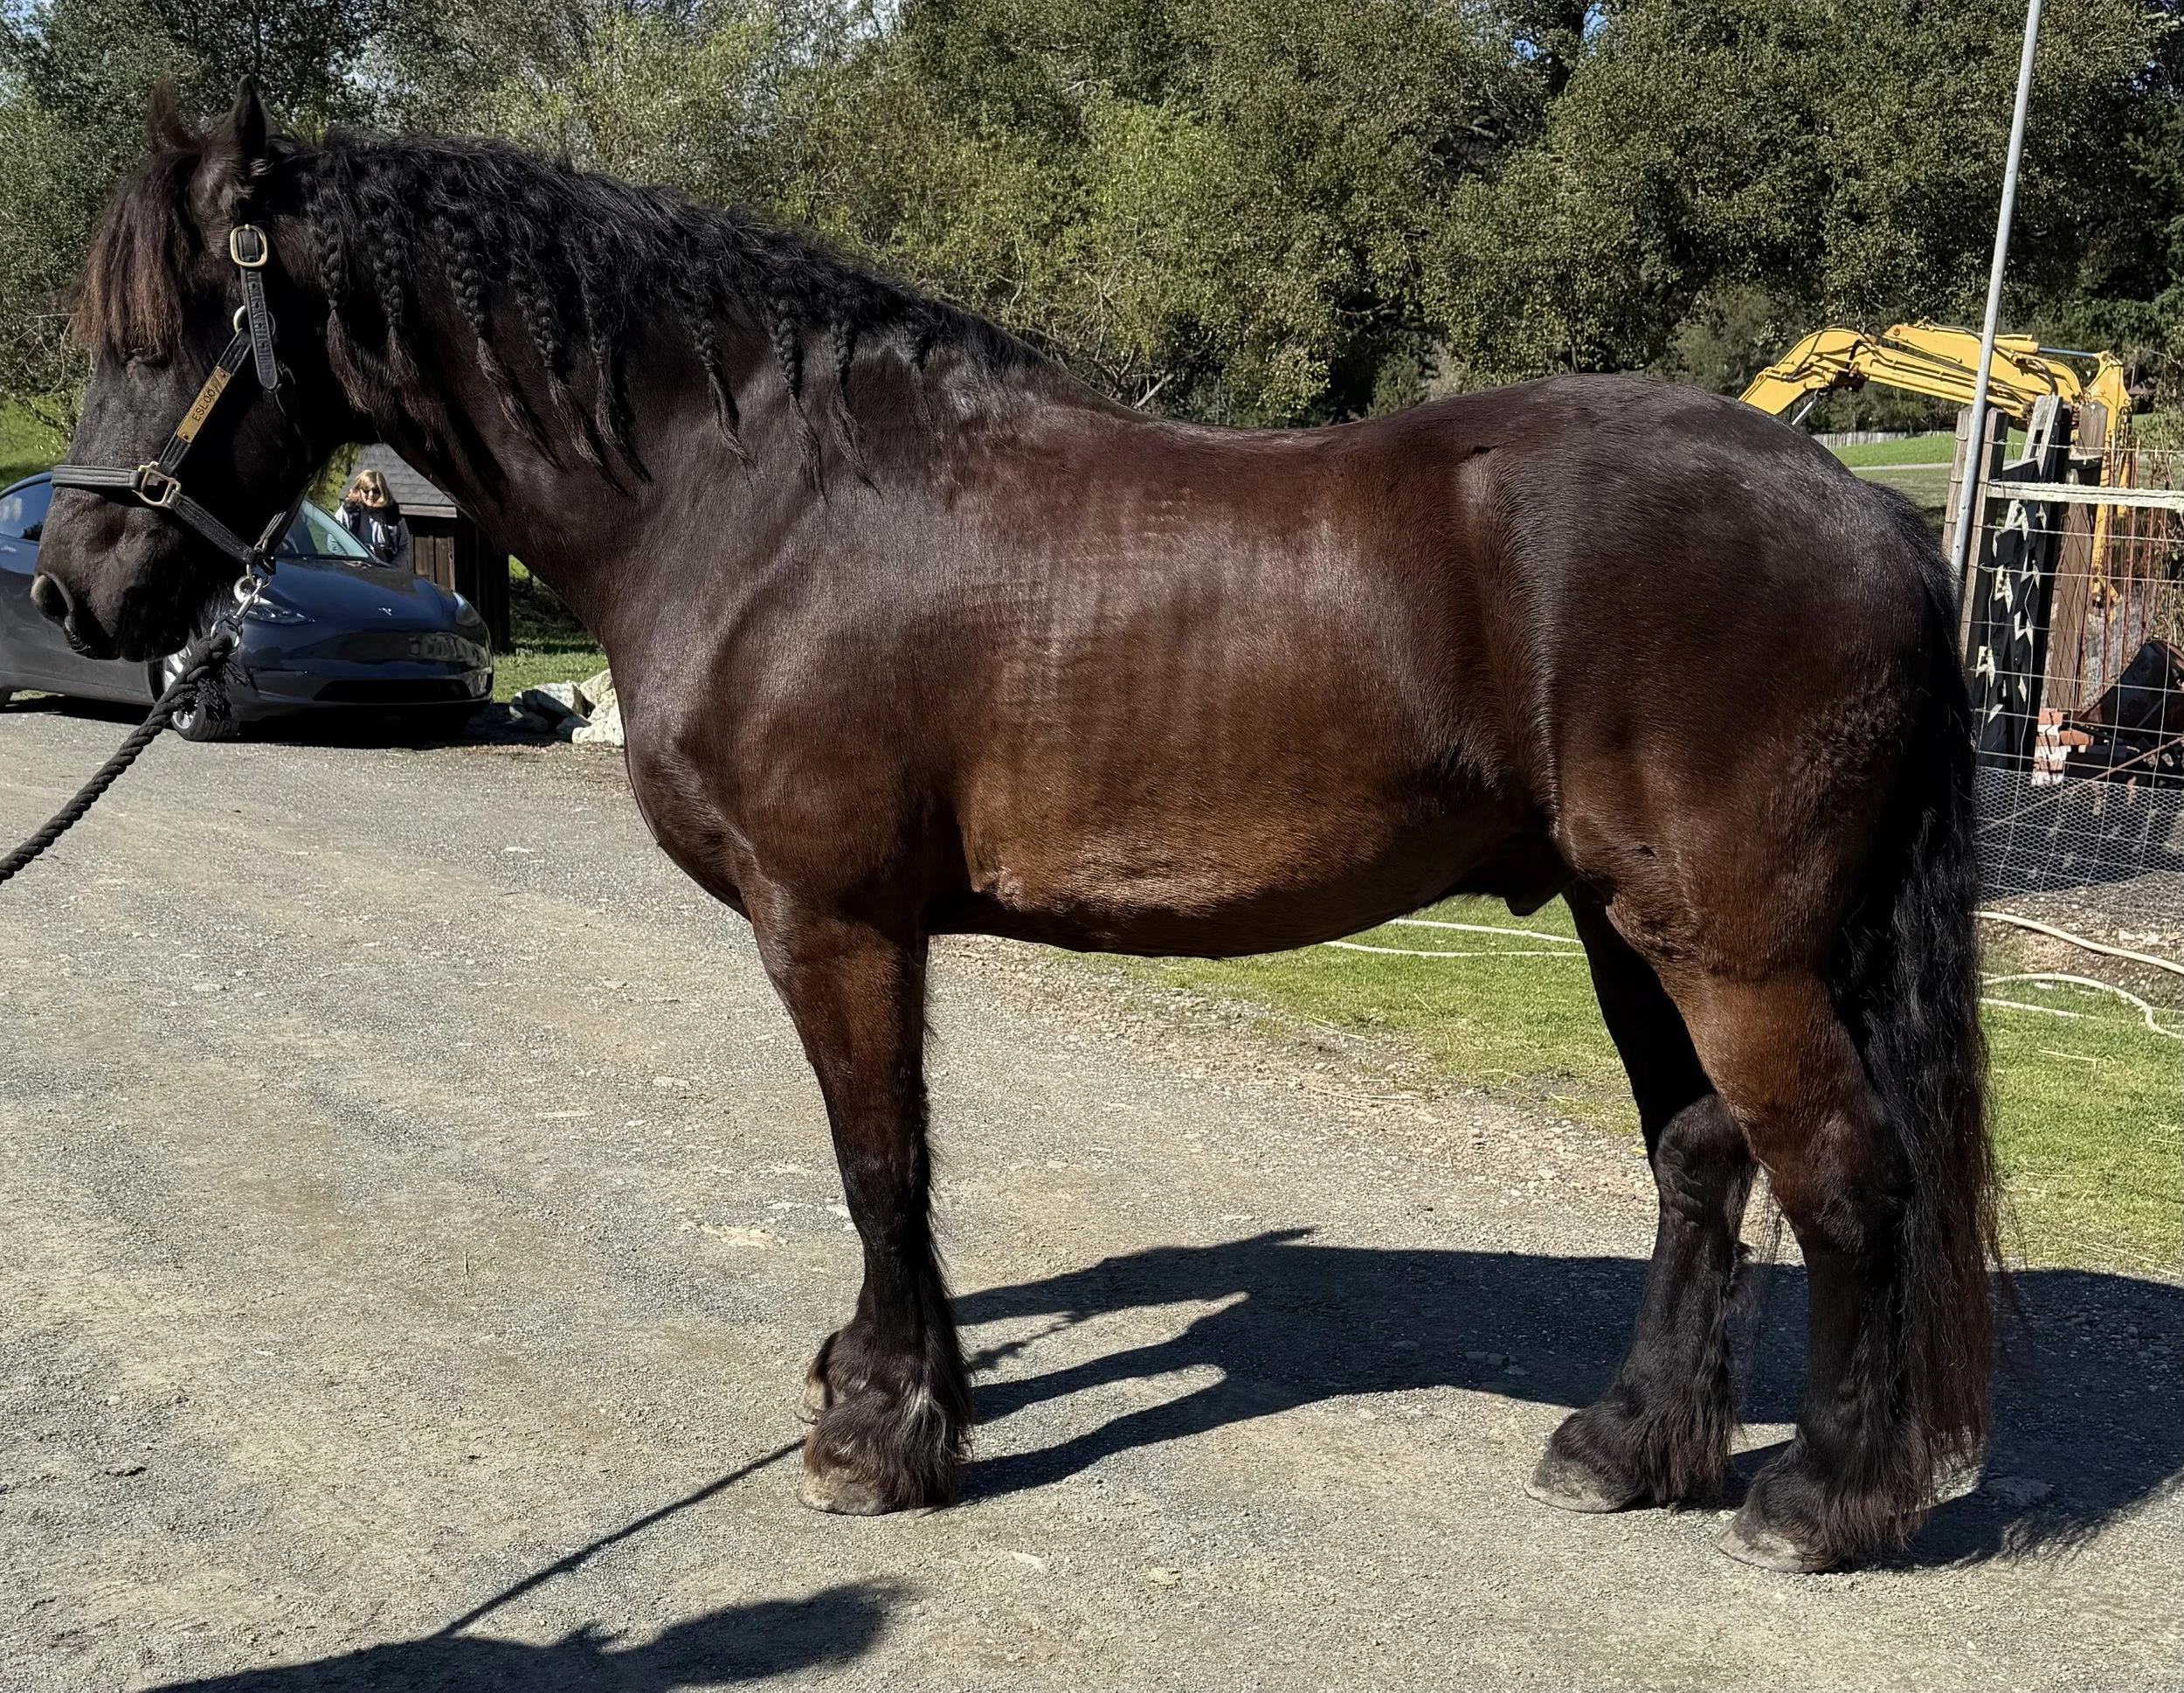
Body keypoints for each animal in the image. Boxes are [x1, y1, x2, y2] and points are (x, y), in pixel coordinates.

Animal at [30, 83, 1999, 1573]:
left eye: (179, 326)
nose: (72, 588)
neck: (754, 498)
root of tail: (1879, 522)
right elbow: (884, 1169)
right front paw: (874, 1382)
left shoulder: (830, 918)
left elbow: (878, 1162)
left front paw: (882, 1432)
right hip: (1625, 925)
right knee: (1700, 1159)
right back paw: (1628, 1444)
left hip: (1733, 948)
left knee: (1846, 1174)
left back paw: (1821, 1497)